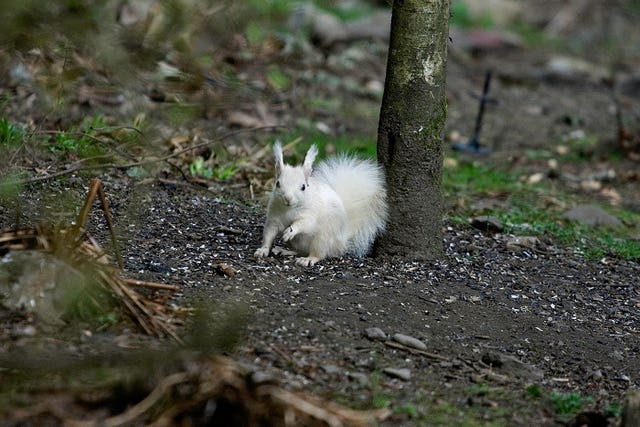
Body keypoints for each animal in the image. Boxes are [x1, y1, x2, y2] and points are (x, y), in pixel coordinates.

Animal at [254, 142, 384, 266]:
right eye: (277, 184)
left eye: (303, 187)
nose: (288, 198)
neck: (289, 209)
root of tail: (340, 243)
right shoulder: (274, 217)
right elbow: (269, 234)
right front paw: (263, 250)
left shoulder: (311, 213)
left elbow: (305, 223)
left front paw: (290, 231)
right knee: (300, 251)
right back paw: (285, 251)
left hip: (322, 239)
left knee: (318, 254)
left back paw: (307, 259)